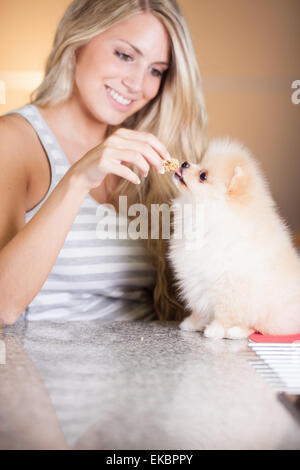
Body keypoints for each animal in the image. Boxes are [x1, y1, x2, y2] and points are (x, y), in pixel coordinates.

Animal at [168, 138, 300, 340]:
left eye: (203, 176)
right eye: (199, 163)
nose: (184, 163)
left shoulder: (230, 283)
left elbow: (226, 311)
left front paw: (216, 329)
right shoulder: (197, 278)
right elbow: (200, 306)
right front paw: (193, 322)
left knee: (259, 326)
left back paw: (236, 331)